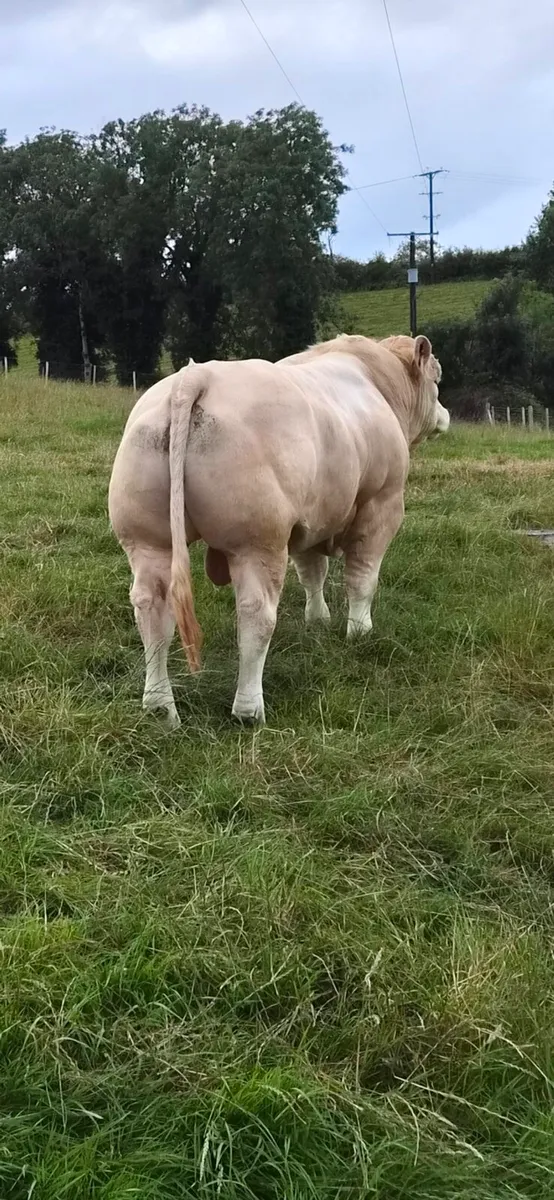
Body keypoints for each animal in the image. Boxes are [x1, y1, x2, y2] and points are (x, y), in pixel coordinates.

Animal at [108, 333, 449, 728]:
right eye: (437, 377)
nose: (445, 415)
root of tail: (195, 377)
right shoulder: (382, 506)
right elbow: (362, 577)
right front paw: (359, 631)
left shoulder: (311, 520)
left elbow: (313, 572)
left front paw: (317, 620)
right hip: (258, 543)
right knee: (256, 614)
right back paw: (248, 709)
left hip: (148, 541)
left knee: (152, 610)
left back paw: (160, 707)